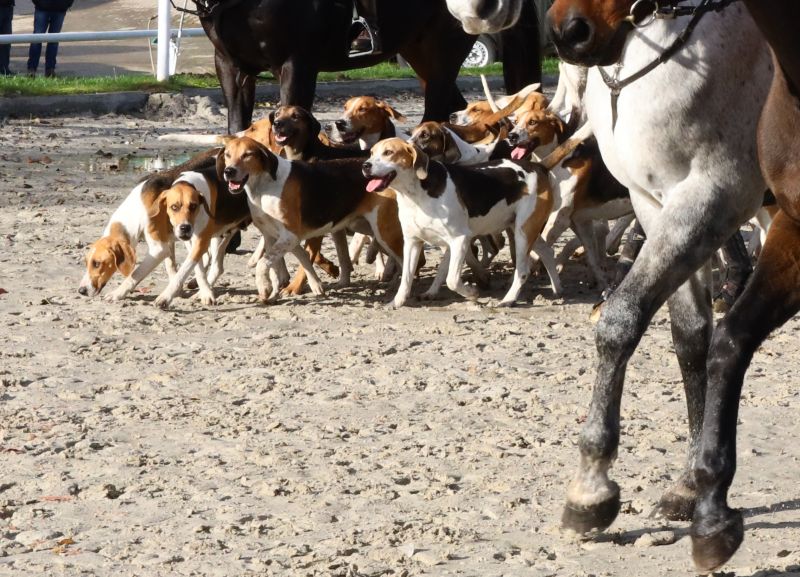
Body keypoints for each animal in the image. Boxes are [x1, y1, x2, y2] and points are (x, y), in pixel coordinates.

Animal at [188, 0, 541, 133]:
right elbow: (237, 131)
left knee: (435, 113)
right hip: (419, 54)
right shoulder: (231, 67)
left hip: (444, 50)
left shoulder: (296, 65)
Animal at [220, 136, 404, 303]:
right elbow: (280, 265)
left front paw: (265, 287)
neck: (264, 186)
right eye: (227, 155)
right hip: (364, 227)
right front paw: (276, 292)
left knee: (406, 259)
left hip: (384, 232)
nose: (228, 171)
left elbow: (263, 263)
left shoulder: (290, 235)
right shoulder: (273, 236)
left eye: (247, 155)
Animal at [362, 125, 592, 308]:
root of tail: (537, 166)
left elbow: (453, 280)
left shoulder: (460, 240)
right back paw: (557, 288)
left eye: (389, 152)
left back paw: (508, 299)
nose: (365, 165)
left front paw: (472, 293)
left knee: (523, 271)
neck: (415, 194)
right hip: (524, 229)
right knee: (547, 252)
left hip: (522, 232)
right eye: (372, 153)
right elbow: (407, 279)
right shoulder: (413, 242)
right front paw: (396, 303)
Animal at [544, 0, 771, 567]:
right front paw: (690, 486)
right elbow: (691, 341)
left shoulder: (711, 198)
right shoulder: (656, 203)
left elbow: (621, 321)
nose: (569, 34)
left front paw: (592, 488)